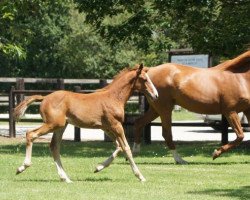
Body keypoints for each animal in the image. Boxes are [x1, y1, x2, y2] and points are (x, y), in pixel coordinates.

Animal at [14, 64, 158, 183]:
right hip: (53, 124)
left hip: (61, 126)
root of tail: (44, 98)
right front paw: (140, 176)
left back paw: (65, 178)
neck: (114, 97)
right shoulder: (116, 126)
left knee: (54, 146)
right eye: (144, 79)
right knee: (30, 134)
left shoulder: (106, 128)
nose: (156, 95)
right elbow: (126, 148)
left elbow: (118, 147)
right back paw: (22, 167)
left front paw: (98, 167)